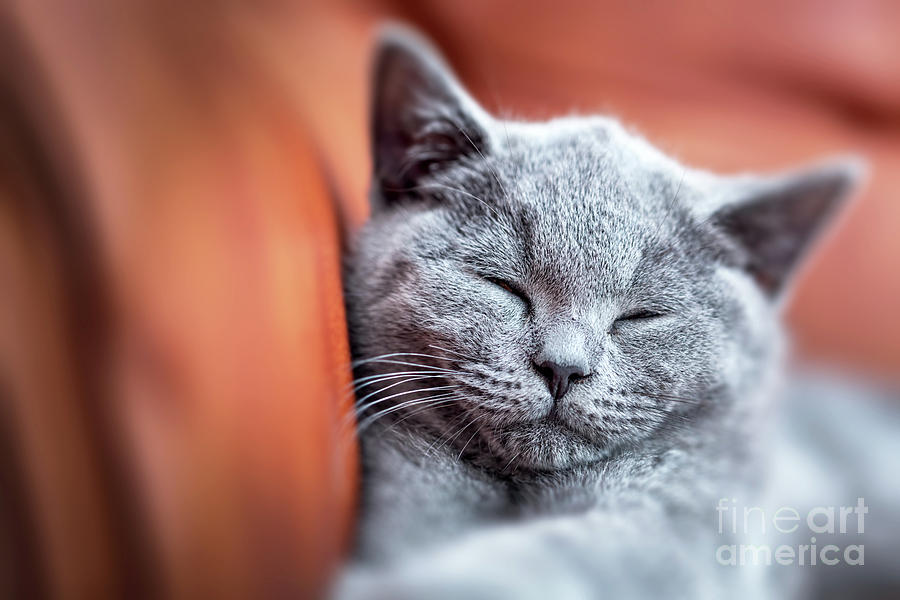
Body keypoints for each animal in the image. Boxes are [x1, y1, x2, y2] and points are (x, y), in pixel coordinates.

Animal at [336, 25, 892, 596]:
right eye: (503, 285)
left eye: (640, 316)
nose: (562, 368)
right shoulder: (407, 465)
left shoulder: (683, 526)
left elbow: (566, 557)